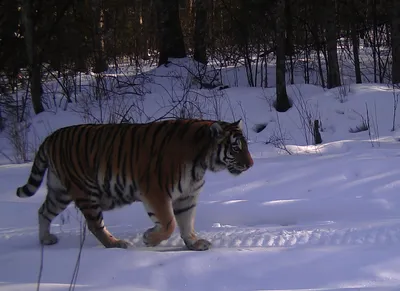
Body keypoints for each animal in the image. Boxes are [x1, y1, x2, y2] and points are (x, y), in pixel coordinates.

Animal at [16, 118, 253, 251]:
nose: (251, 164)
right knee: (95, 224)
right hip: (84, 190)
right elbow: (169, 223)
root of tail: (51, 137)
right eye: (235, 148)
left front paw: (193, 244)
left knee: (43, 211)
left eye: (246, 146)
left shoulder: (187, 195)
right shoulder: (156, 191)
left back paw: (46, 239)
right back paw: (116, 244)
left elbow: (186, 222)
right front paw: (150, 239)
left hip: (60, 192)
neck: (201, 161)